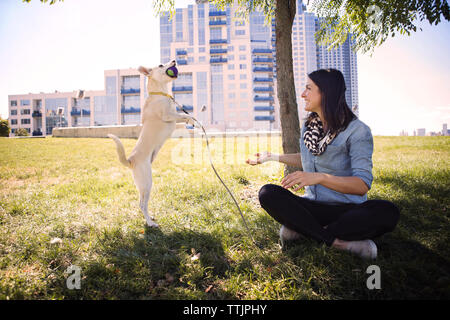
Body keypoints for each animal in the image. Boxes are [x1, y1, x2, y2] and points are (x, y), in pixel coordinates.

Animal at [109, 60, 195, 229]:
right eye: (161, 65)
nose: (174, 60)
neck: (161, 94)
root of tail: (130, 161)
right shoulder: (168, 116)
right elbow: (180, 115)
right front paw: (191, 119)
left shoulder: (173, 118)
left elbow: (182, 117)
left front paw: (191, 121)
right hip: (147, 183)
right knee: (142, 204)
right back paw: (150, 223)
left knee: (142, 203)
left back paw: (150, 218)